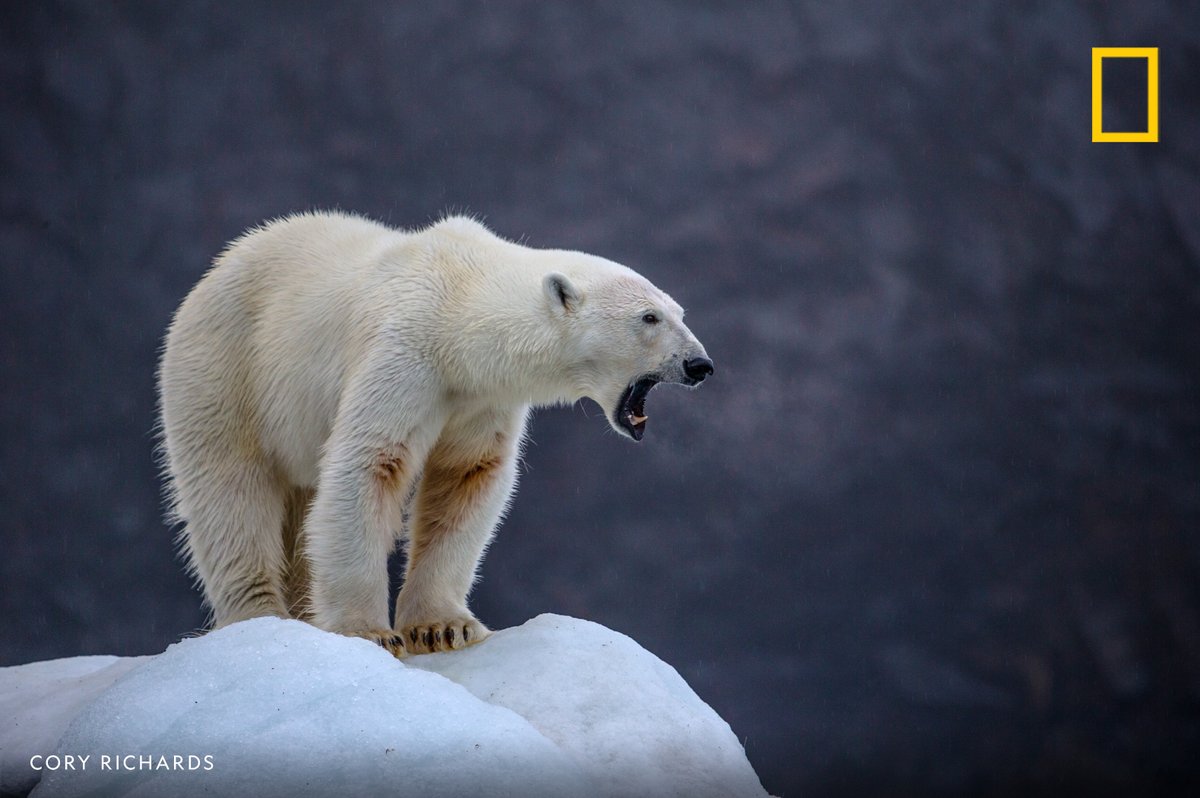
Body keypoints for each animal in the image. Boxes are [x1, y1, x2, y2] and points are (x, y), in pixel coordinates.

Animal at [158, 211, 713, 656]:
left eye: (680, 312)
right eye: (648, 317)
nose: (700, 364)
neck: (459, 311)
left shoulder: (479, 398)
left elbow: (466, 477)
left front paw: (442, 628)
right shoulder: (404, 357)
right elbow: (369, 466)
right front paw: (369, 633)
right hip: (225, 369)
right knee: (230, 492)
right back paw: (259, 615)